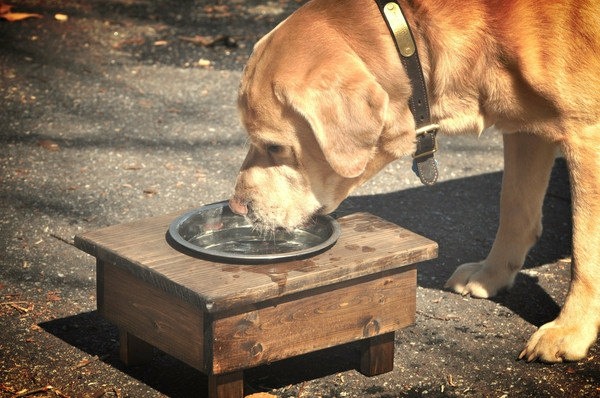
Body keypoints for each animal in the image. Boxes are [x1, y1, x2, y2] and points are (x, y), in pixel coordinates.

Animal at [227, 0, 596, 364]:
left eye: (274, 147)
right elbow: (515, 209)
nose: (235, 207)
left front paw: (571, 329)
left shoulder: (585, 134)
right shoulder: (525, 129)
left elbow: (584, 247)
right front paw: (492, 275)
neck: (413, 39)